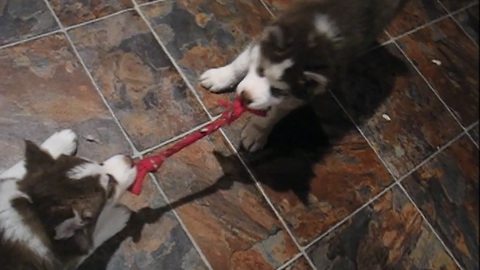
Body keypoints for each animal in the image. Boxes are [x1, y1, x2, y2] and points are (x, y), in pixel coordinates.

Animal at [0, 130, 135, 268]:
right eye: (111, 191)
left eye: (99, 163)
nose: (130, 160)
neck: (34, 210)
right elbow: (90, 243)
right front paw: (118, 216)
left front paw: (61, 140)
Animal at [199, 0, 404, 152]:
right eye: (259, 70)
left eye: (277, 89)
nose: (244, 97)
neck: (317, 38)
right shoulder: (266, 40)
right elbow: (241, 62)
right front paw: (220, 77)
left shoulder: (305, 90)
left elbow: (276, 112)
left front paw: (257, 131)